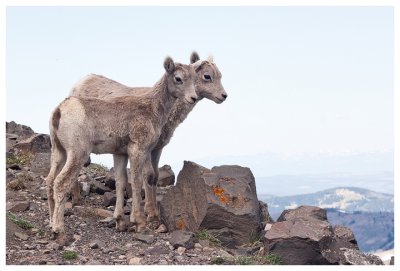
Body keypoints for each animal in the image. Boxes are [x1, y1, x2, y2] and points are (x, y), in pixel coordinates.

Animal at [46, 56, 198, 244]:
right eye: (178, 78)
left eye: (194, 78)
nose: (193, 97)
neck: (152, 109)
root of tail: (59, 112)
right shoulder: (138, 149)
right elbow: (137, 181)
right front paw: (139, 222)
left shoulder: (120, 153)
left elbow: (121, 181)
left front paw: (120, 222)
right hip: (77, 153)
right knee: (61, 182)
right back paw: (59, 232)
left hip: (59, 151)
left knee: (50, 180)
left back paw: (51, 225)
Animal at [69, 52, 228, 228]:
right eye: (207, 76)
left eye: (220, 75)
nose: (223, 96)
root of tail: (81, 81)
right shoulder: (144, 148)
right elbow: (147, 175)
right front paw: (149, 213)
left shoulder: (158, 147)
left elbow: (155, 177)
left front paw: (153, 213)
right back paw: (75, 198)